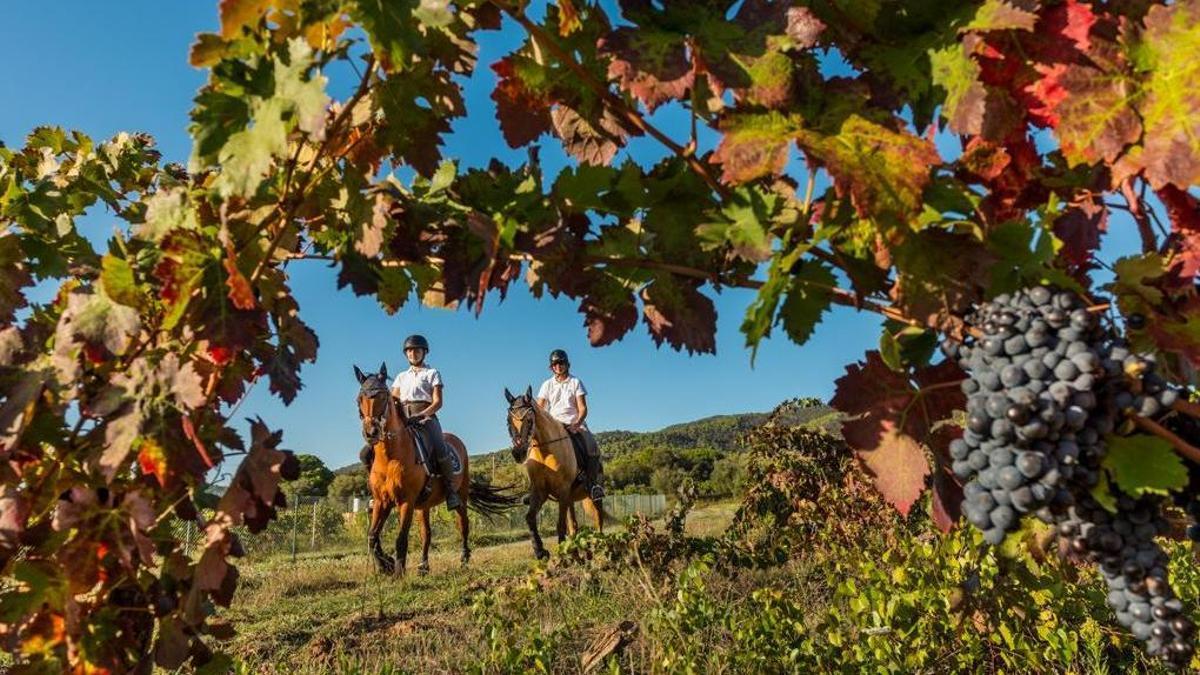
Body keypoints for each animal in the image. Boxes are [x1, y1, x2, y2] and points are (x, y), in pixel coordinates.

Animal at [350, 362, 511, 571]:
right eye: (359, 399)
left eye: (383, 396)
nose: (371, 432)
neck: (391, 457)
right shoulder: (381, 501)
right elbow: (372, 536)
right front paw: (386, 564)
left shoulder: (406, 501)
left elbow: (400, 539)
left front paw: (398, 572)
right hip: (423, 505)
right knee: (426, 533)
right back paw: (424, 566)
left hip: (460, 494)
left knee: (463, 524)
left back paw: (464, 559)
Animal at [504, 384, 604, 557]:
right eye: (508, 421)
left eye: (529, 420)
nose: (518, 453)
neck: (546, 452)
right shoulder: (540, 492)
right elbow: (530, 518)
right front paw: (540, 551)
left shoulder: (562, 491)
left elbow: (560, 524)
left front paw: (562, 553)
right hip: (570, 498)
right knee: (574, 525)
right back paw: (577, 551)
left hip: (592, 497)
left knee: (598, 520)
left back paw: (599, 546)